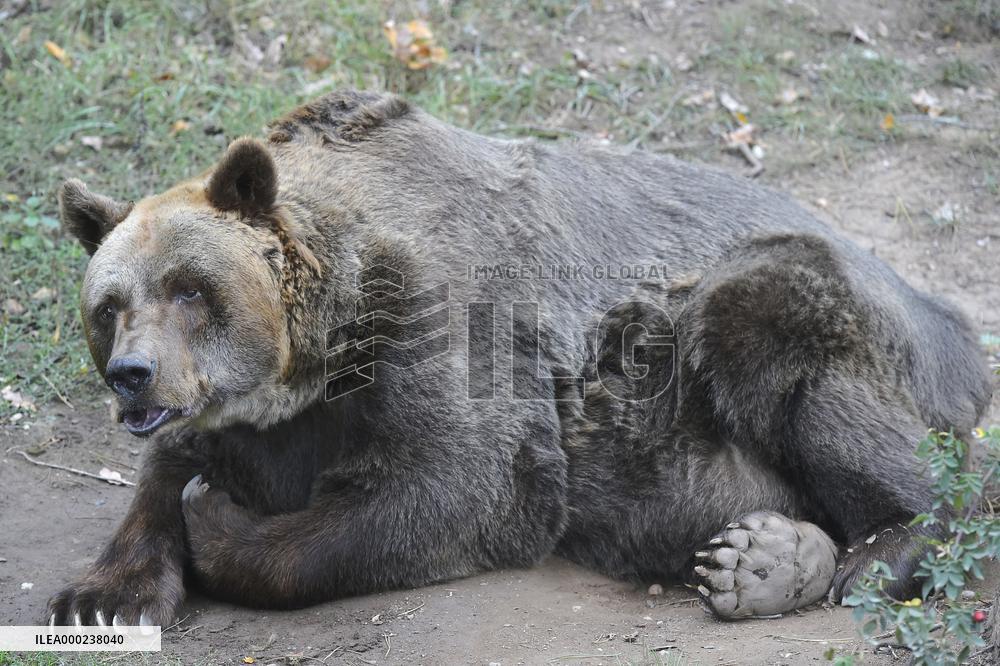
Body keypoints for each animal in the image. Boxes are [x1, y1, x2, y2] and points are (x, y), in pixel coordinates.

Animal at [48, 90, 991, 626]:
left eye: (190, 288)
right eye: (109, 306)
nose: (132, 376)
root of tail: (954, 326)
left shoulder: (447, 319)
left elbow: (457, 487)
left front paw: (222, 523)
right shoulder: (258, 413)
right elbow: (168, 471)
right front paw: (102, 595)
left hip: (791, 308)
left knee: (777, 344)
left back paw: (878, 547)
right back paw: (765, 558)